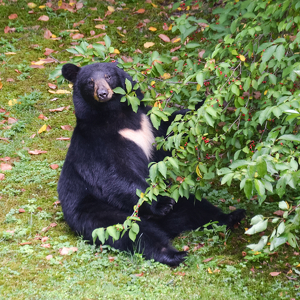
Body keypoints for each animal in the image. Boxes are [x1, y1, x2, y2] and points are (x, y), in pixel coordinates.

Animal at [58, 62, 246, 266]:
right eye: (90, 82)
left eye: (108, 76)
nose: (102, 93)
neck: (114, 114)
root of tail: (166, 226)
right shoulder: (97, 143)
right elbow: (114, 175)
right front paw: (162, 203)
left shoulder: (147, 121)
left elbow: (172, 126)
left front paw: (210, 100)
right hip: (93, 208)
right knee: (133, 232)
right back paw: (173, 253)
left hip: (180, 199)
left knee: (196, 207)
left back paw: (232, 216)